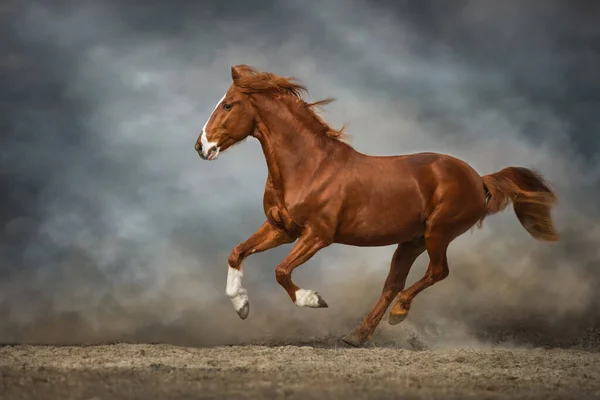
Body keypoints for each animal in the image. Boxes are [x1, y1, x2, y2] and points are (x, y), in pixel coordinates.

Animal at [195, 64, 560, 346]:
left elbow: (281, 271)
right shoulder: (281, 228)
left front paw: (313, 299)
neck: (308, 166)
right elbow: (237, 253)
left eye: (228, 105)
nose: (201, 147)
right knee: (392, 285)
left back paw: (397, 314)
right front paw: (242, 306)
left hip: (437, 233)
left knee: (436, 272)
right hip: (411, 241)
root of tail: (478, 179)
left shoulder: (318, 235)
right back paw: (356, 336)